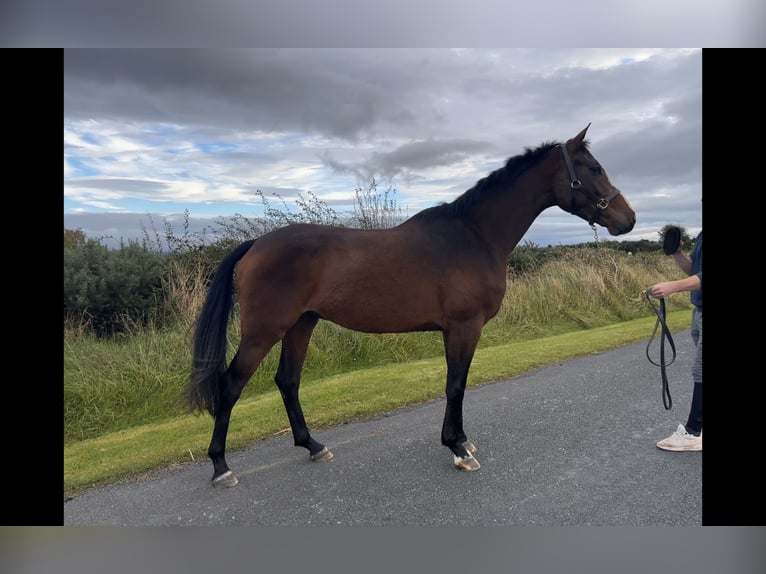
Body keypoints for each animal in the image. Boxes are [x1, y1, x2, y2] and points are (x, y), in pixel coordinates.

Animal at [189, 125, 640, 486]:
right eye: (594, 169)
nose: (629, 219)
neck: (473, 235)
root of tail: (255, 245)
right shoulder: (463, 326)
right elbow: (456, 384)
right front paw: (458, 449)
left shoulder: (455, 330)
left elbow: (457, 383)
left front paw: (461, 441)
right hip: (264, 330)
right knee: (231, 386)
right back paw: (221, 468)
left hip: (303, 324)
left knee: (288, 381)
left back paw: (314, 446)